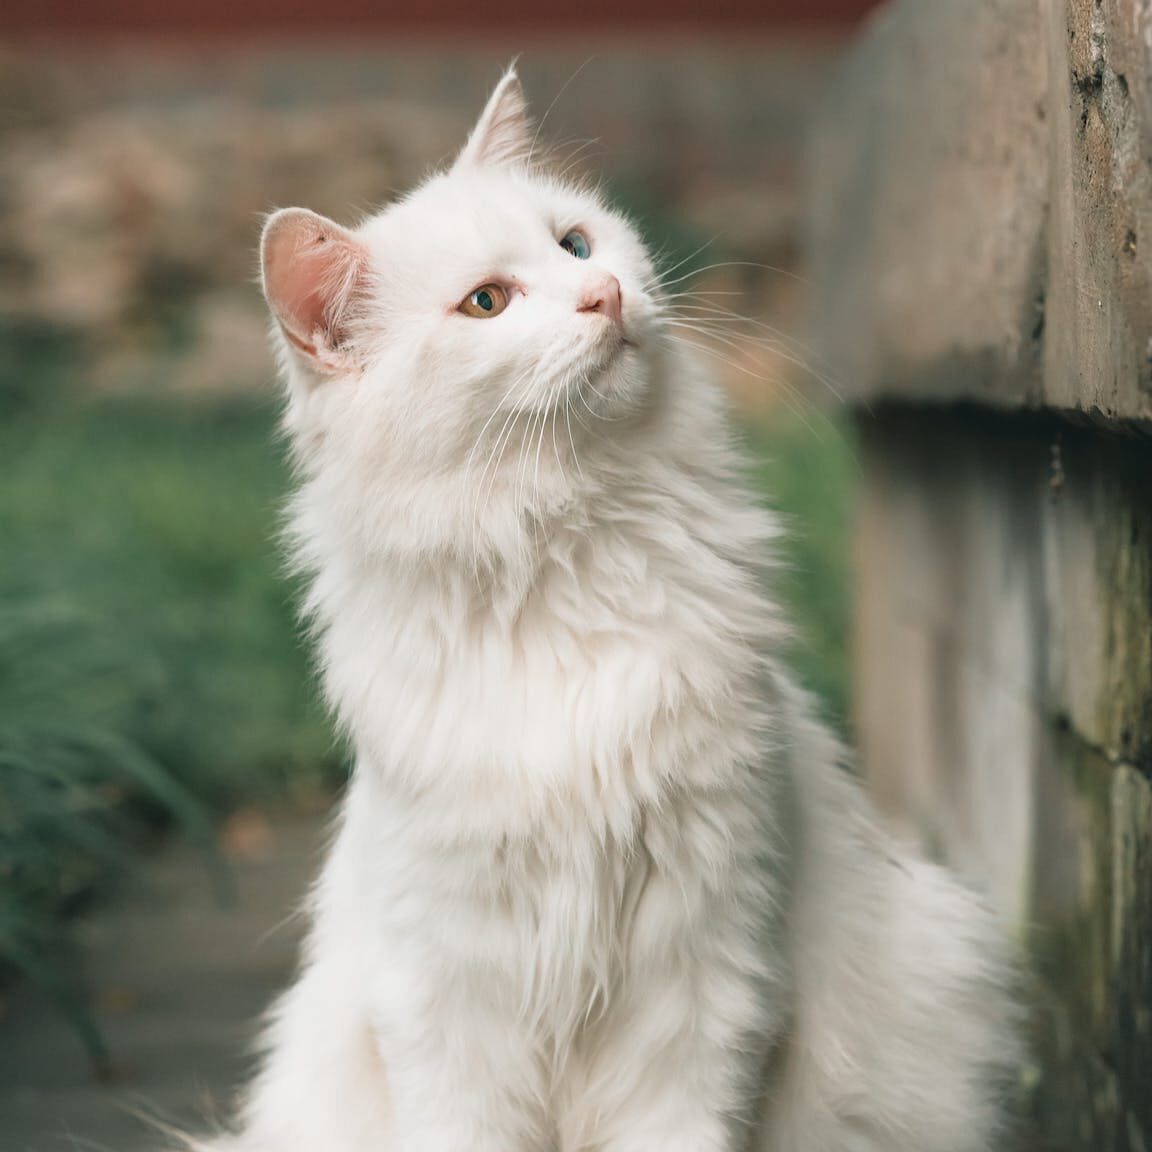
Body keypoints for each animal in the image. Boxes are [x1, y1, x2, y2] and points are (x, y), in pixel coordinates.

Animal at [211, 65, 1013, 1152]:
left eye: (577, 245)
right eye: (487, 303)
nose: (605, 295)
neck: (568, 550)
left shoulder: (705, 966)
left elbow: (679, 1123)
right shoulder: (446, 990)